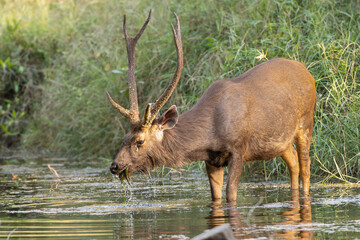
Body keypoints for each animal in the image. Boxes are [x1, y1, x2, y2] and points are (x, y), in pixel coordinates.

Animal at [108, 11, 316, 202]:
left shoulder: (238, 148)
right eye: (124, 138)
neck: (210, 133)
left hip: (306, 120)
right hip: (281, 140)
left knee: (306, 166)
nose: (115, 166)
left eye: (140, 141)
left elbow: (230, 194)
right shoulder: (211, 160)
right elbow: (215, 197)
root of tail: (307, 71)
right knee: (293, 162)